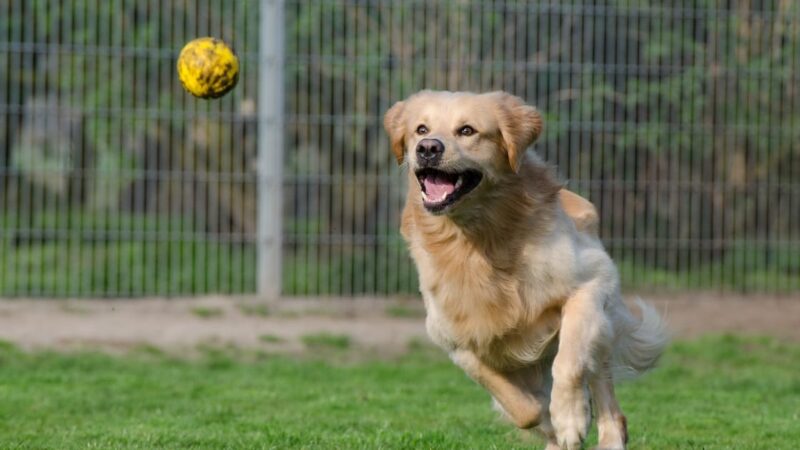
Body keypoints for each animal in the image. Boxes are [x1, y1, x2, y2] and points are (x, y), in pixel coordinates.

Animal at [384, 89, 664, 448]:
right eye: (421, 129)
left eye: (467, 130)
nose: (428, 148)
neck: (478, 239)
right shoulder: (455, 340)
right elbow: (522, 408)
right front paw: (552, 420)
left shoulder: (590, 283)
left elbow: (569, 362)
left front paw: (570, 418)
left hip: (602, 326)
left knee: (606, 399)